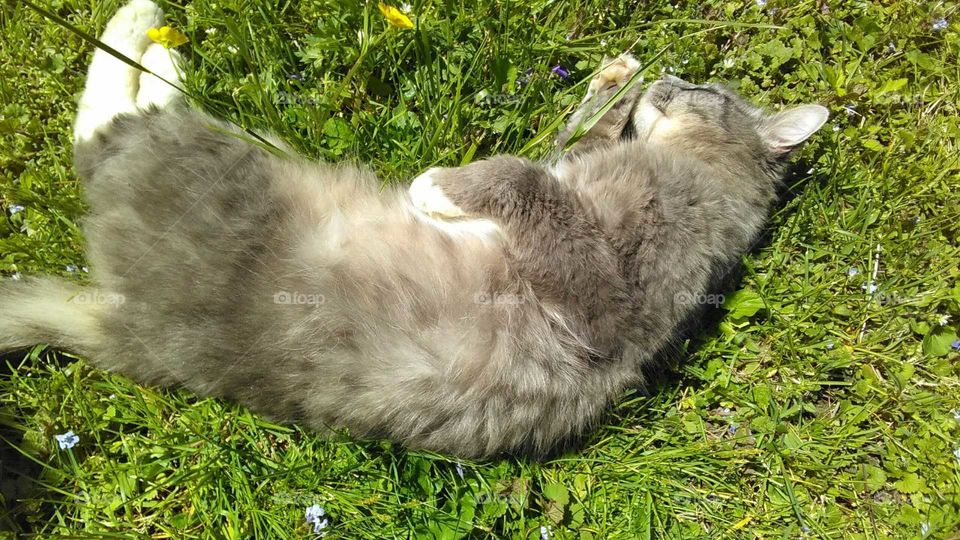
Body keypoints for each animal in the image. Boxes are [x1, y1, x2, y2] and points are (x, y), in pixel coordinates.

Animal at [0, 2, 824, 458]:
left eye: (704, 89)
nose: (670, 76)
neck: (694, 169)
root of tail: (122, 322)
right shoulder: (576, 169)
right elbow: (566, 146)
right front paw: (615, 78)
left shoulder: (602, 294)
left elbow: (523, 180)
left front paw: (438, 189)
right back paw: (160, 42)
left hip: (215, 164)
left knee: (110, 124)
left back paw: (144, 32)